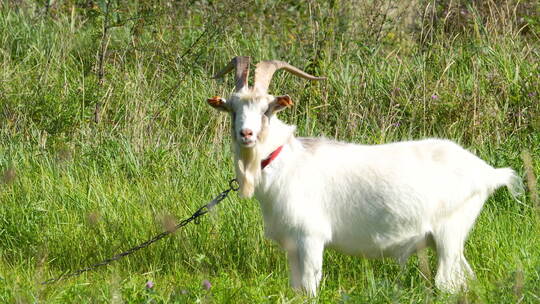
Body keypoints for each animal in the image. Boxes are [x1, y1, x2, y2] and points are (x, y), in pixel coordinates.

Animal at [206, 55, 524, 296]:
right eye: (232, 108)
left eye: (267, 109)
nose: (246, 134)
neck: (286, 162)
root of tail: (487, 173)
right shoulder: (292, 245)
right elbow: (297, 290)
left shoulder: (310, 237)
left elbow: (310, 288)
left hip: (450, 231)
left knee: (447, 283)